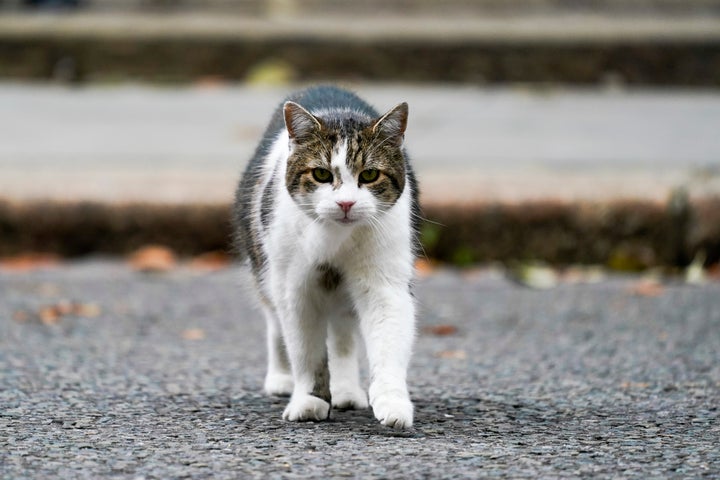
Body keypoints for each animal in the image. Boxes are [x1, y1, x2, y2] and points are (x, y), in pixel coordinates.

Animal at [233, 84, 420, 430]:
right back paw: (281, 379)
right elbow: (307, 352)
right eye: (320, 174)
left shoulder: (385, 282)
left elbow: (387, 342)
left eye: (369, 175)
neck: (336, 239)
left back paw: (346, 391)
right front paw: (310, 400)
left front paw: (393, 403)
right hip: (266, 269)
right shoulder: (295, 289)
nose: (346, 203)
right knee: (276, 324)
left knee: (343, 338)